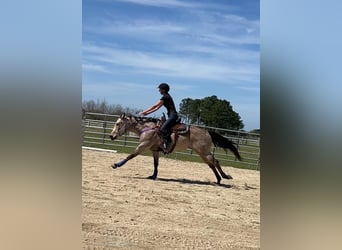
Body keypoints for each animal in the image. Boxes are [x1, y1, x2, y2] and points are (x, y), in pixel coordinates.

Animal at [108, 113, 242, 184]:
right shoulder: (154, 150)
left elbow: (130, 156)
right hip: (202, 153)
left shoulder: (143, 146)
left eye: (118, 123)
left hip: (204, 152)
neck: (147, 128)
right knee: (212, 164)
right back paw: (219, 179)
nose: (111, 136)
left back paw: (224, 177)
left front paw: (116, 164)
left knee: (215, 162)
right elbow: (156, 164)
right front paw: (153, 176)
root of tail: (207, 132)